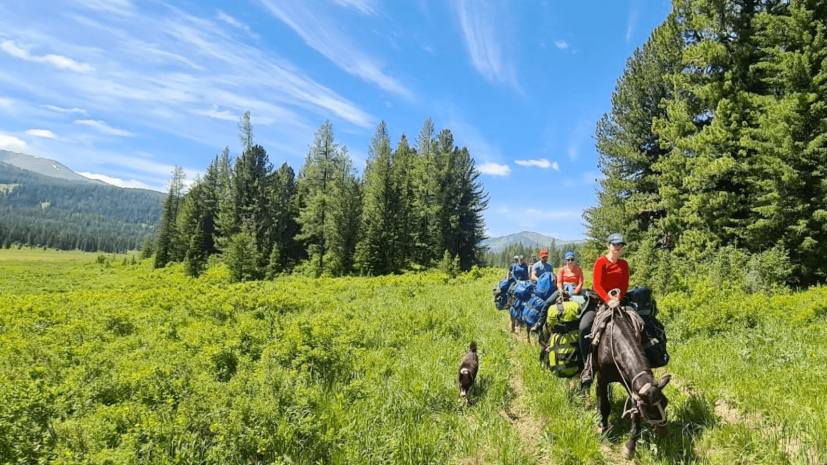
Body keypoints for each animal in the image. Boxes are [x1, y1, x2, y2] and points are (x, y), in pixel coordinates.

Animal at [591, 304, 671, 459]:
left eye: (665, 404)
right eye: (650, 413)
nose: (663, 432)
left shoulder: (631, 384)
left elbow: (635, 412)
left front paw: (631, 446)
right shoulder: (602, 378)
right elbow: (604, 405)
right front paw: (604, 433)